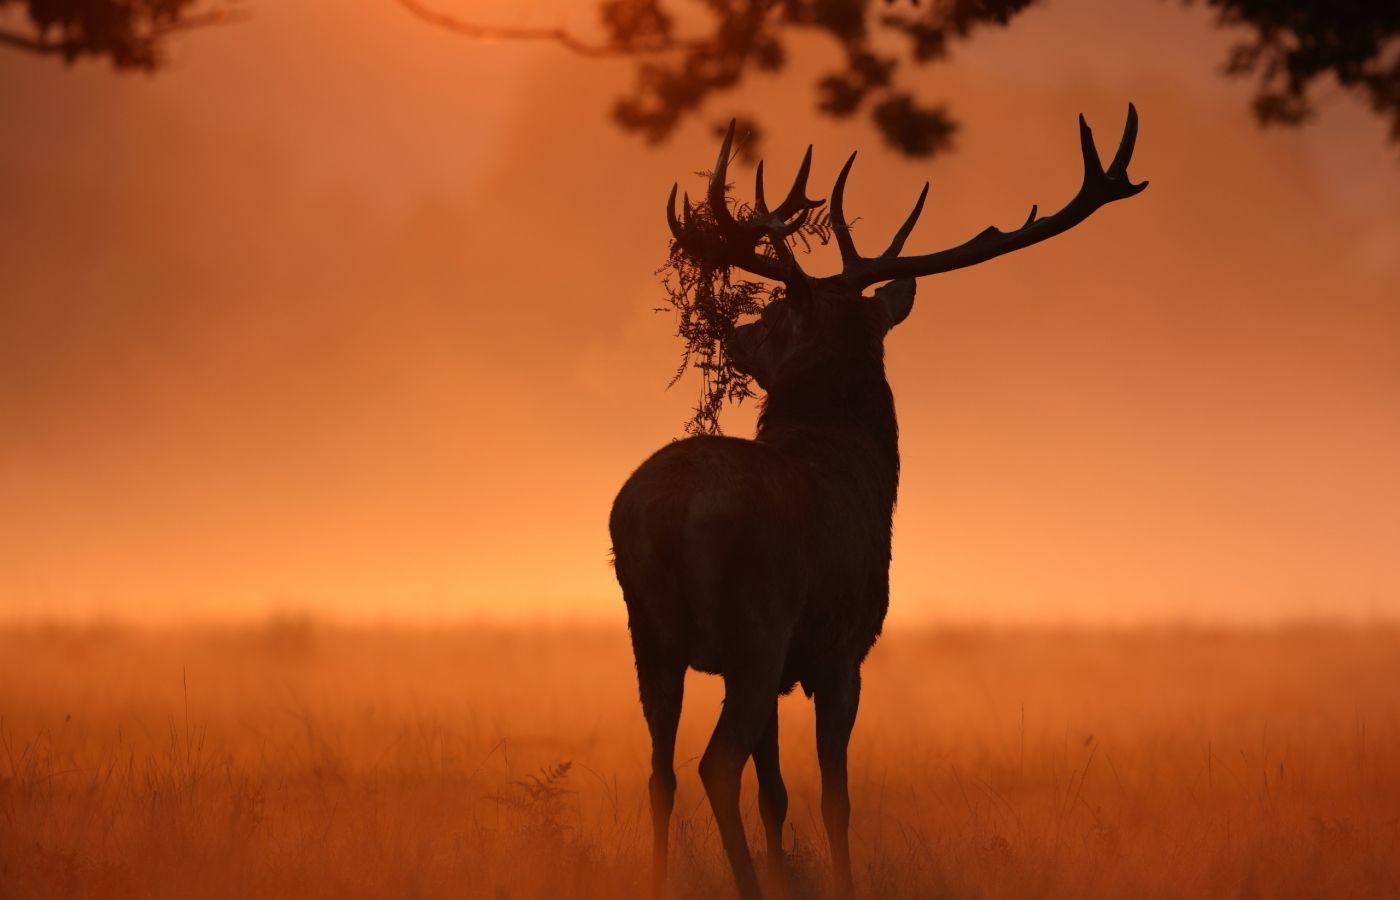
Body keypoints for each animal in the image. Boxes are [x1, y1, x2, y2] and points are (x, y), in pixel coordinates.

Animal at [609, 105, 1147, 899]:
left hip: (649, 634)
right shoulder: (843, 648)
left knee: (660, 773)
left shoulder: (787, 665)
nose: (735, 333)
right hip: (754, 623)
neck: (859, 468)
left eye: (774, 317)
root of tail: (666, 515)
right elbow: (836, 798)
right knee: (714, 765)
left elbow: (778, 796)